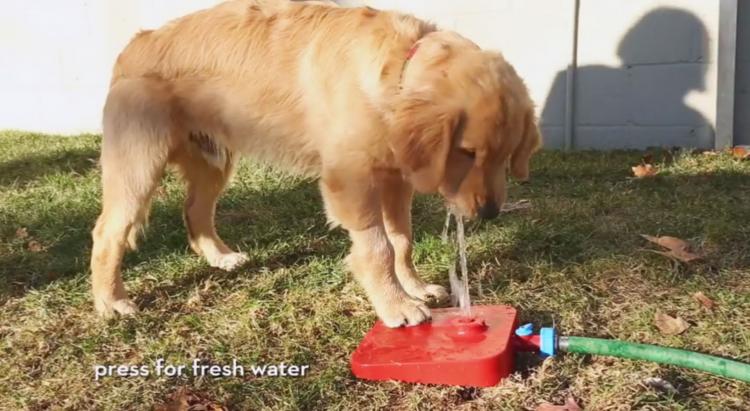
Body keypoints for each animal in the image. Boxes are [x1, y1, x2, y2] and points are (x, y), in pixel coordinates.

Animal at [91, 0, 544, 328]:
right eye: (466, 152)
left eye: (506, 156)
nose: (490, 213)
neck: (396, 70)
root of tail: (133, 45)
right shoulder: (350, 183)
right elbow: (377, 247)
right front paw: (396, 305)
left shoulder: (395, 179)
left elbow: (402, 240)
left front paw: (413, 287)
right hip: (138, 166)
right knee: (107, 232)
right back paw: (111, 301)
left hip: (213, 162)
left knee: (194, 211)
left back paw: (220, 257)